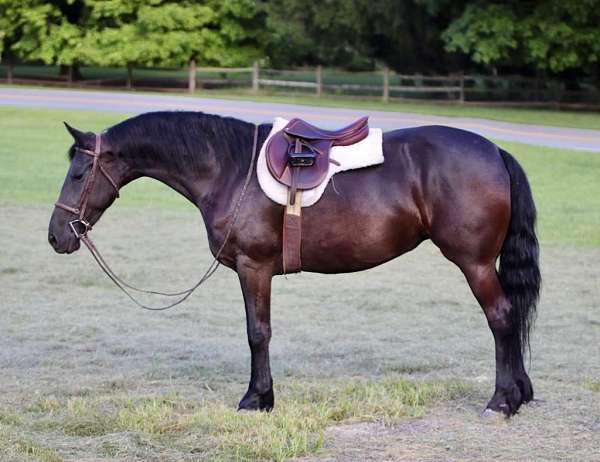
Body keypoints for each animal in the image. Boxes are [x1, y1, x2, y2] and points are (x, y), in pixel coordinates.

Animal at [49, 111, 540, 416]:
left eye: (78, 173)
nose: (56, 236)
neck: (229, 169)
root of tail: (495, 152)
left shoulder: (254, 268)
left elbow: (257, 333)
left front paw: (256, 399)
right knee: (512, 315)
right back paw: (519, 395)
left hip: (475, 263)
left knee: (501, 317)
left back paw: (500, 402)